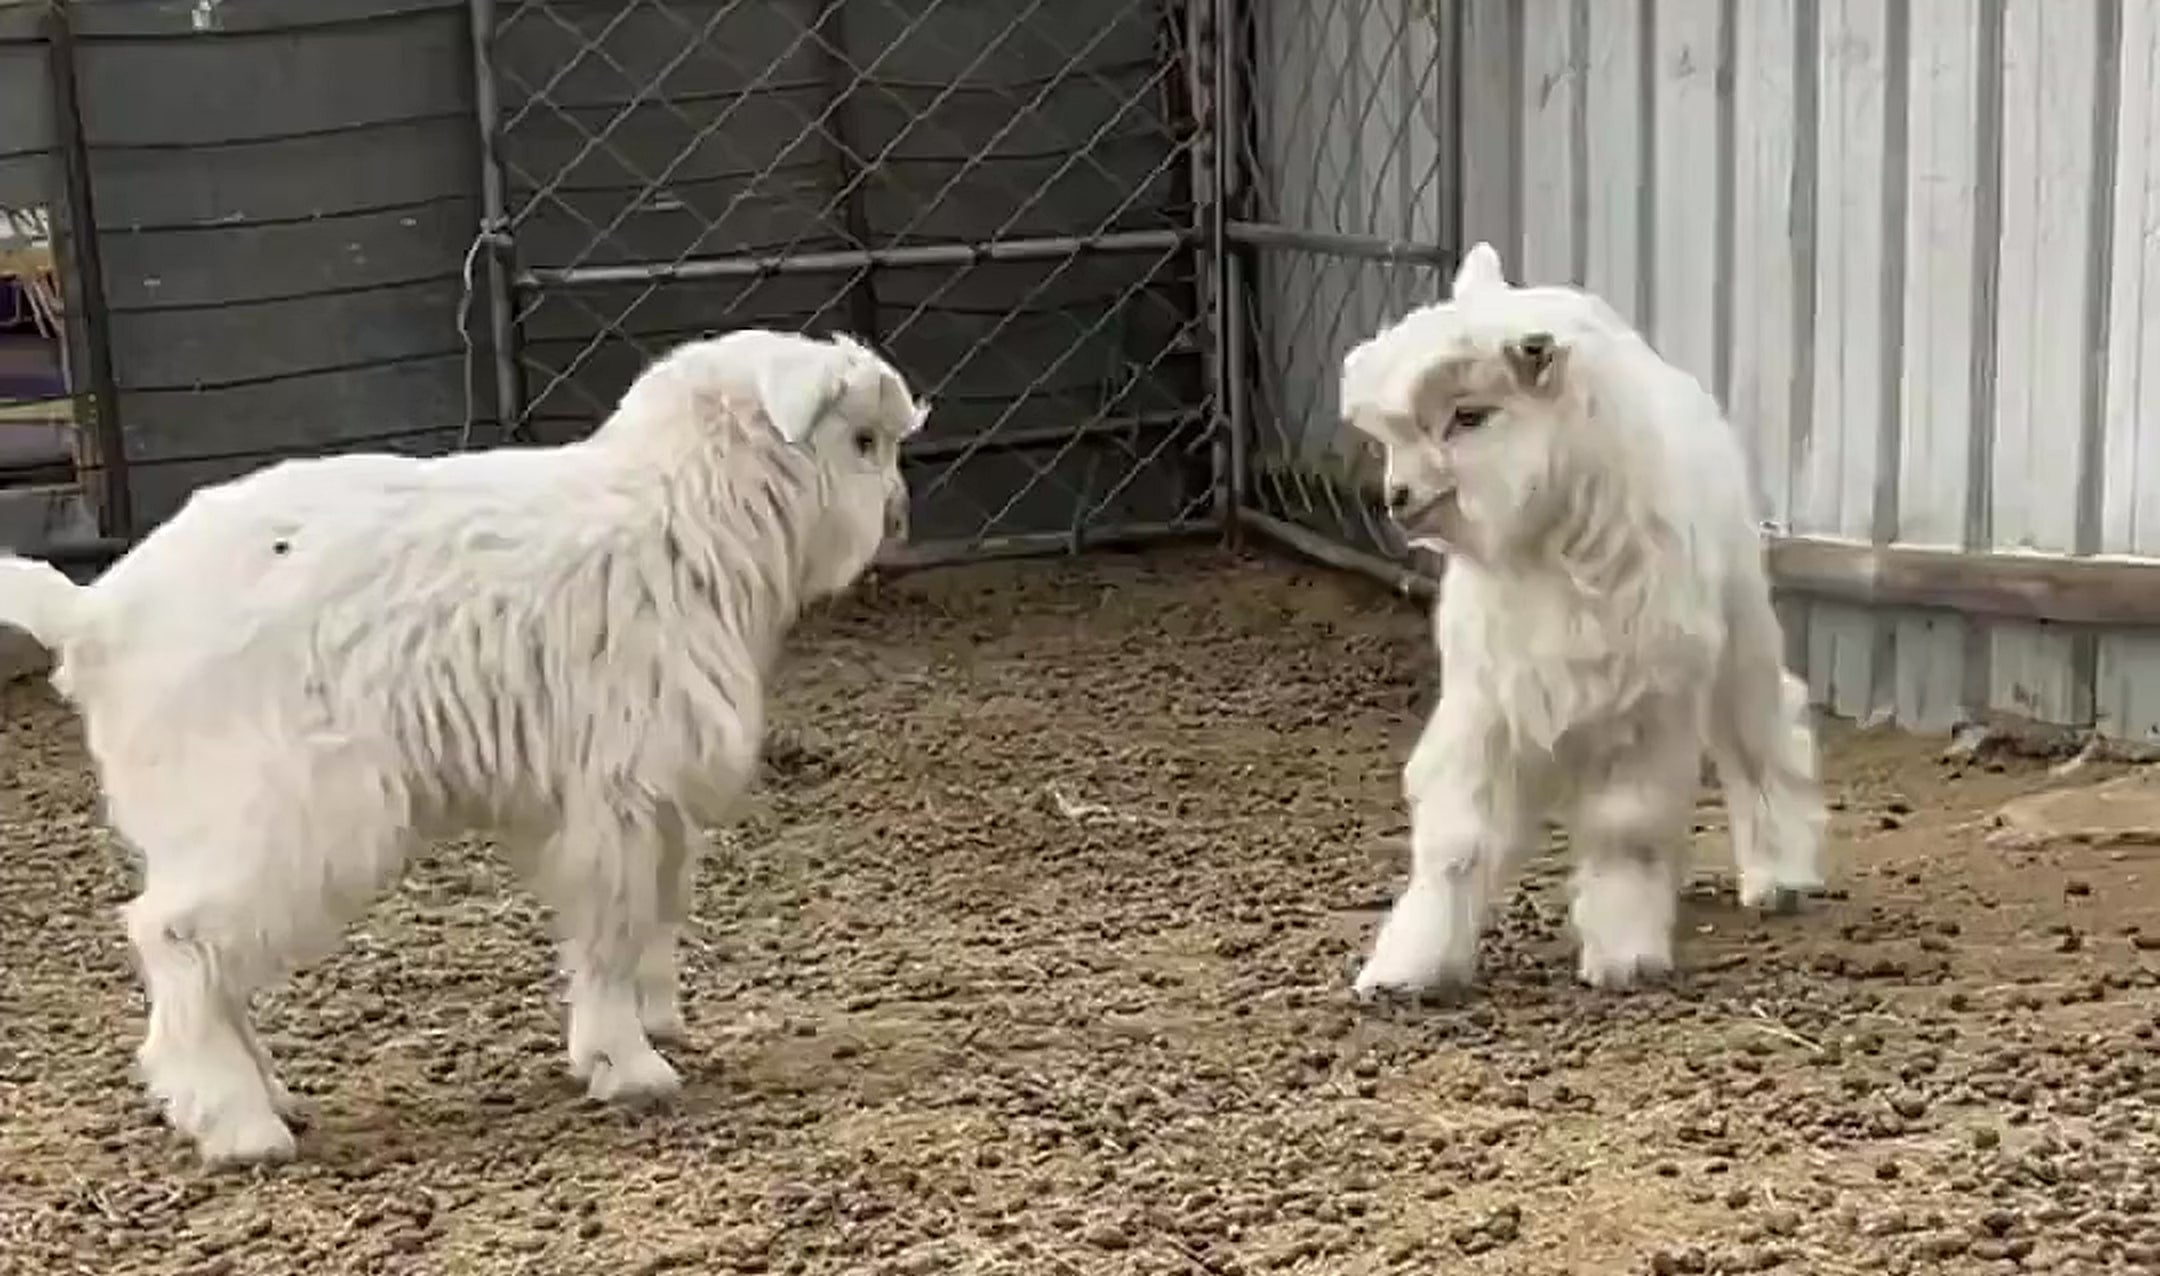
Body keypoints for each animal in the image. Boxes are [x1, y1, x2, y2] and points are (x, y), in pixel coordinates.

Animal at [0, 328, 928, 1165]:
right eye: (863, 440)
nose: (899, 516)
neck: (687, 515)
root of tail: (93, 619)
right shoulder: (616, 791)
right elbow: (614, 925)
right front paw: (629, 1066)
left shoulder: (654, 799)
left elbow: (658, 913)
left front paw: (657, 1023)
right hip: (278, 809)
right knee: (178, 938)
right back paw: (240, 1127)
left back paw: (268, 1096)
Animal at [1339, 243, 1824, 997]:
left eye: (1470, 416)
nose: (1399, 497)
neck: (1546, 549)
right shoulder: (1489, 704)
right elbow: (1456, 839)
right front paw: (1406, 967)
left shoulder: (1642, 710)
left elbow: (1625, 831)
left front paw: (1625, 956)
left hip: (1740, 628)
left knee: (1762, 735)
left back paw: (1779, 878)